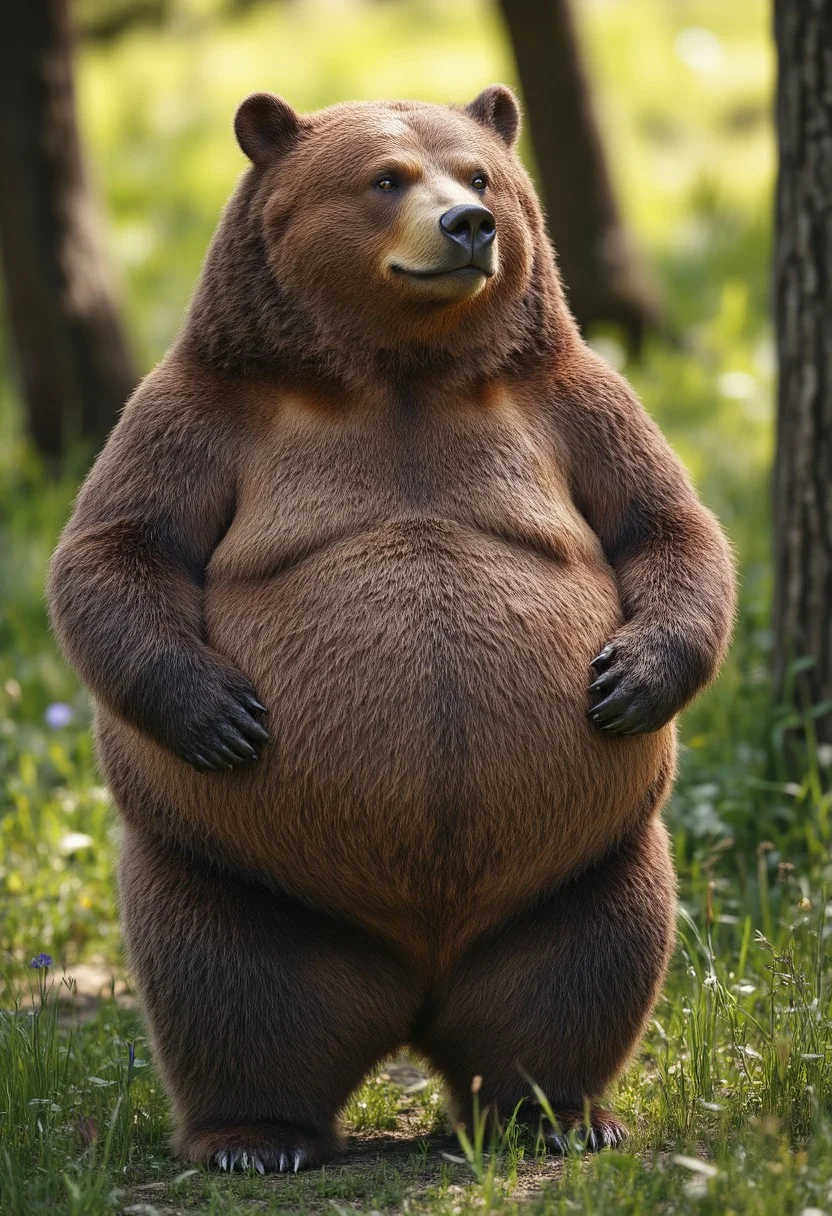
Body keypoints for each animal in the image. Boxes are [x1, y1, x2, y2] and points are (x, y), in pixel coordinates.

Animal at [48, 85, 735, 1172]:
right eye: (385, 178)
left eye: (480, 172)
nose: (470, 224)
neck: (403, 373)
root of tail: (415, 986)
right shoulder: (209, 411)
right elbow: (119, 549)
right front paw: (224, 715)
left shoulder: (567, 403)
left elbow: (666, 525)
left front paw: (628, 680)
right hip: (234, 874)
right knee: (230, 990)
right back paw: (255, 1134)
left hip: (586, 864)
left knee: (584, 973)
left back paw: (560, 1114)